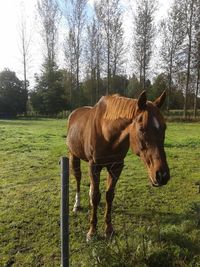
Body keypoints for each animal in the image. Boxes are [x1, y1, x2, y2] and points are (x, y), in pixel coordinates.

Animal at [67, 91, 170, 242]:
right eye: (142, 128)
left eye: (164, 127)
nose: (162, 175)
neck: (106, 133)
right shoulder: (94, 166)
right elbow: (96, 196)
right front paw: (92, 232)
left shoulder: (116, 167)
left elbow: (109, 195)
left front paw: (109, 229)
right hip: (73, 155)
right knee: (78, 179)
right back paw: (77, 205)